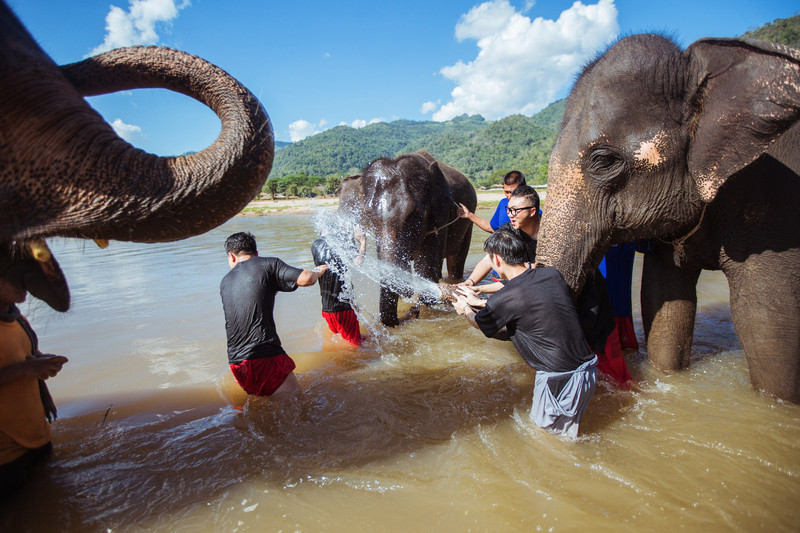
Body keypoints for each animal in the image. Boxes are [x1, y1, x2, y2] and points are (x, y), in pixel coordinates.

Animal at [338, 149, 476, 324]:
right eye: (369, 215)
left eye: (415, 214)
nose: (412, 311)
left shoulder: (440, 215)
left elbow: (424, 271)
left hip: (468, 222)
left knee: (456, 260)